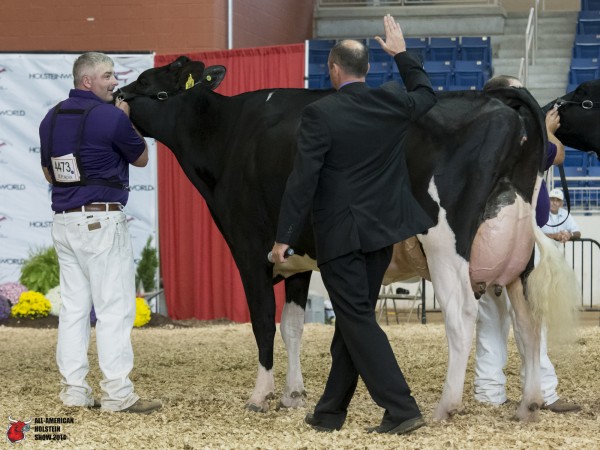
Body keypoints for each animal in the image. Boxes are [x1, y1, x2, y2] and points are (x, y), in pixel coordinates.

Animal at [117, 56, 581, 422]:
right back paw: (528, 405)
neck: (229, 135)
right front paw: (294, 394)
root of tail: (498, 99)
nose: (118, 94)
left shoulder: (250, 250)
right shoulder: (295, 255)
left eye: (149, 81)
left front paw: (260, 395)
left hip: (446, 243)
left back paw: (446, 406)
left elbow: (263, 321)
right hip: (518, 250)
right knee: (528, 321)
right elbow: (292, 325)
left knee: (462, 314)